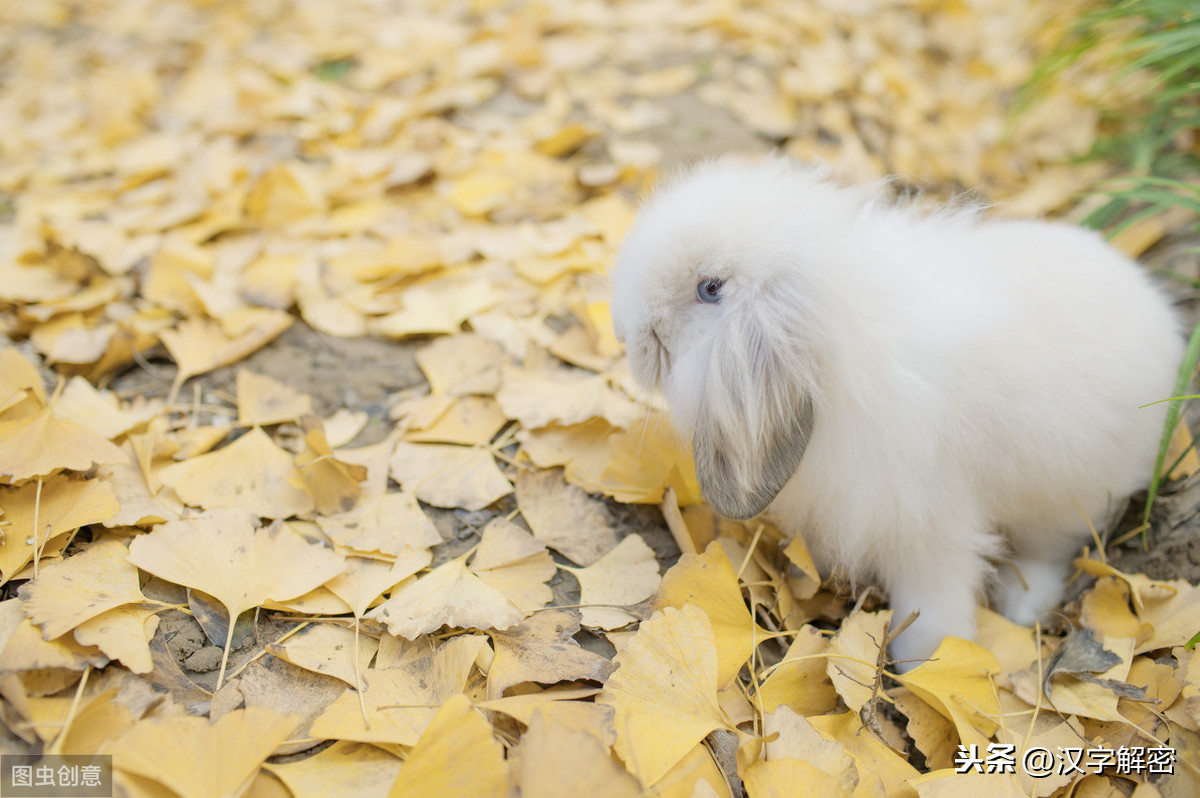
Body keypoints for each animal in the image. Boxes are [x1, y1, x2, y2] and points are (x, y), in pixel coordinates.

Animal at [609, 156, 1180, 667]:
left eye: (710, 289)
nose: (626, 334)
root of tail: (1160, 315)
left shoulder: (927, 524)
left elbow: (934, 601)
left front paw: (925, 662)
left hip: (1067, 495)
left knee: (1052, 550)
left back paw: (1023, 607)